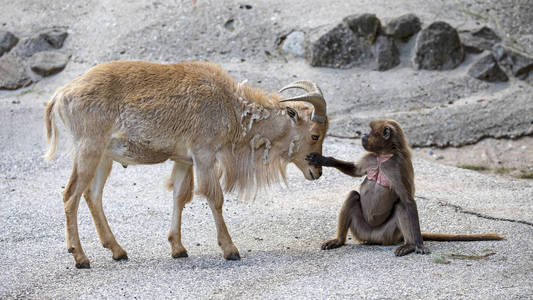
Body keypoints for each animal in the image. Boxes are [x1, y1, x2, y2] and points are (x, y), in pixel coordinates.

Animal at [44, 59, 328, 268]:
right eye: (315, 135)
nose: (316, 172)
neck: (230, 107)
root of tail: (61, 94)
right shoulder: (204, 155)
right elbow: (214, 197)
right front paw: (230, 250)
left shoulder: (184, 160)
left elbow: (180, 196)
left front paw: (178, 248)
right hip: (88, 149)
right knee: (71, 195)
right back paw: (81, 257)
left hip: (104, 157)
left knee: (92, 195)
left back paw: (117, 251)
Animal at [306, 119, 500, 255]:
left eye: (371, 131)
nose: (362, 135)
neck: (383, 156)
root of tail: (373, 237)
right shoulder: (371, 158)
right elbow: (355, 171)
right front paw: (323, 159)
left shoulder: (398, 167)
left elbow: (408, 201)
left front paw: (419, 244)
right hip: (361, 230)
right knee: (353, 196)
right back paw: (338, 240)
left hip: (388, 234)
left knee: (400, 206)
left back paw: (409, 245)